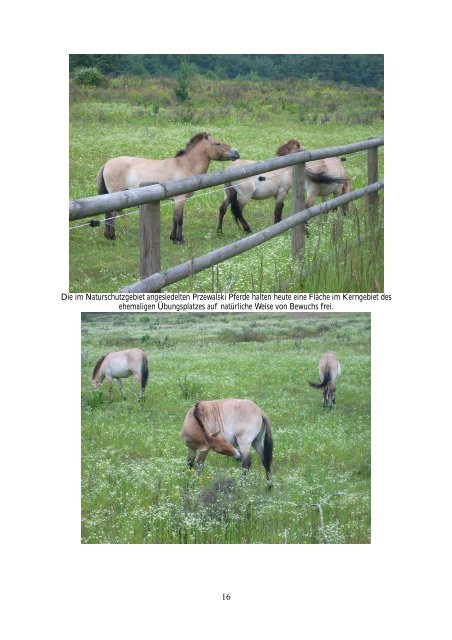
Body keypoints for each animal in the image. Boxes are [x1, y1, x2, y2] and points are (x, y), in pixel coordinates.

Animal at [97, 131, 240, 244]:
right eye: (218, 143)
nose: (236, 153)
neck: (184, 166)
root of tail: (106, 164)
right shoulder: (180, 199)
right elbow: (179, 219)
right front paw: (180, 239)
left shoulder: (175, 200)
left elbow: (174, 219)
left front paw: (173, 238)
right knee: (112, 214)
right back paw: (112, 236)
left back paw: (108, 235)